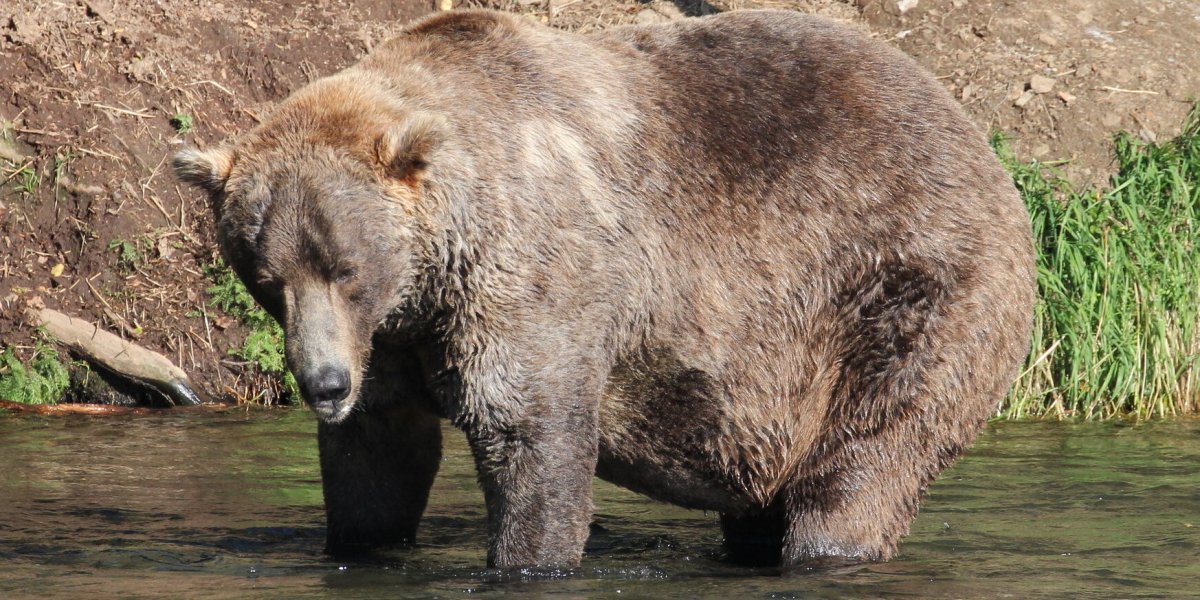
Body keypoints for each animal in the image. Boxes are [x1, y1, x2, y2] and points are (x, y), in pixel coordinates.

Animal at [173, 9, 1036, 569]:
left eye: (347, 268)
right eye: (268, 277)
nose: (322, 383)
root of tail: (975, 135)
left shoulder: (534, 279)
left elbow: (531, 434)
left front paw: (527, 557)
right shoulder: (394, 340)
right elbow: (378, 459)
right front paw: (362, 540)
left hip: (902, 287)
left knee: (866, 456)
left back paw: (829, 545)